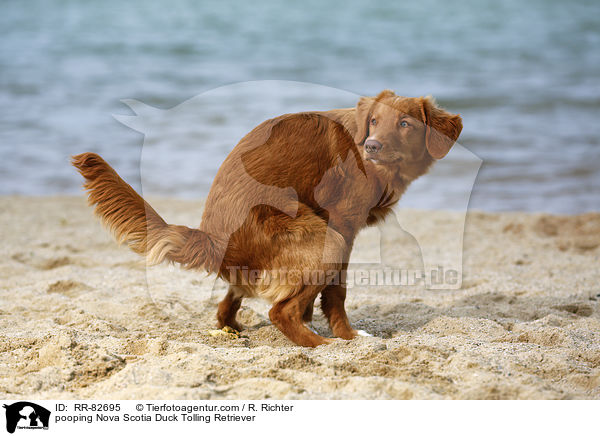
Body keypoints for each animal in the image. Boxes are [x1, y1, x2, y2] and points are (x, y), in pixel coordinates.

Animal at [71, 89, 464, 348]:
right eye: (374, 122)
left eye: (405, 123)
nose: (372, 146)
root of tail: (210, 239)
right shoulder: (344, 224)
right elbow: (336, 292)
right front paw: (348, 335)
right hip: (325, 239)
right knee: (280, 312)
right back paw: (323, 345)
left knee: (226, 304)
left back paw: (236, 329)